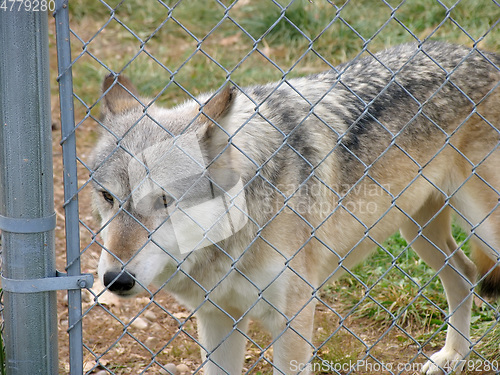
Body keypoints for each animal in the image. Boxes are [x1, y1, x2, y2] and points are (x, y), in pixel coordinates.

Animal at [92, 41, 500, 375]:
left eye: (164, 200)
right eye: (107, 197)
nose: (115, 280)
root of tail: (488, 55)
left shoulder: (294, 323)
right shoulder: (218, 318)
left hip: (479, 227)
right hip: (416, 230)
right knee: (464, 273)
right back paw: (453, 356)